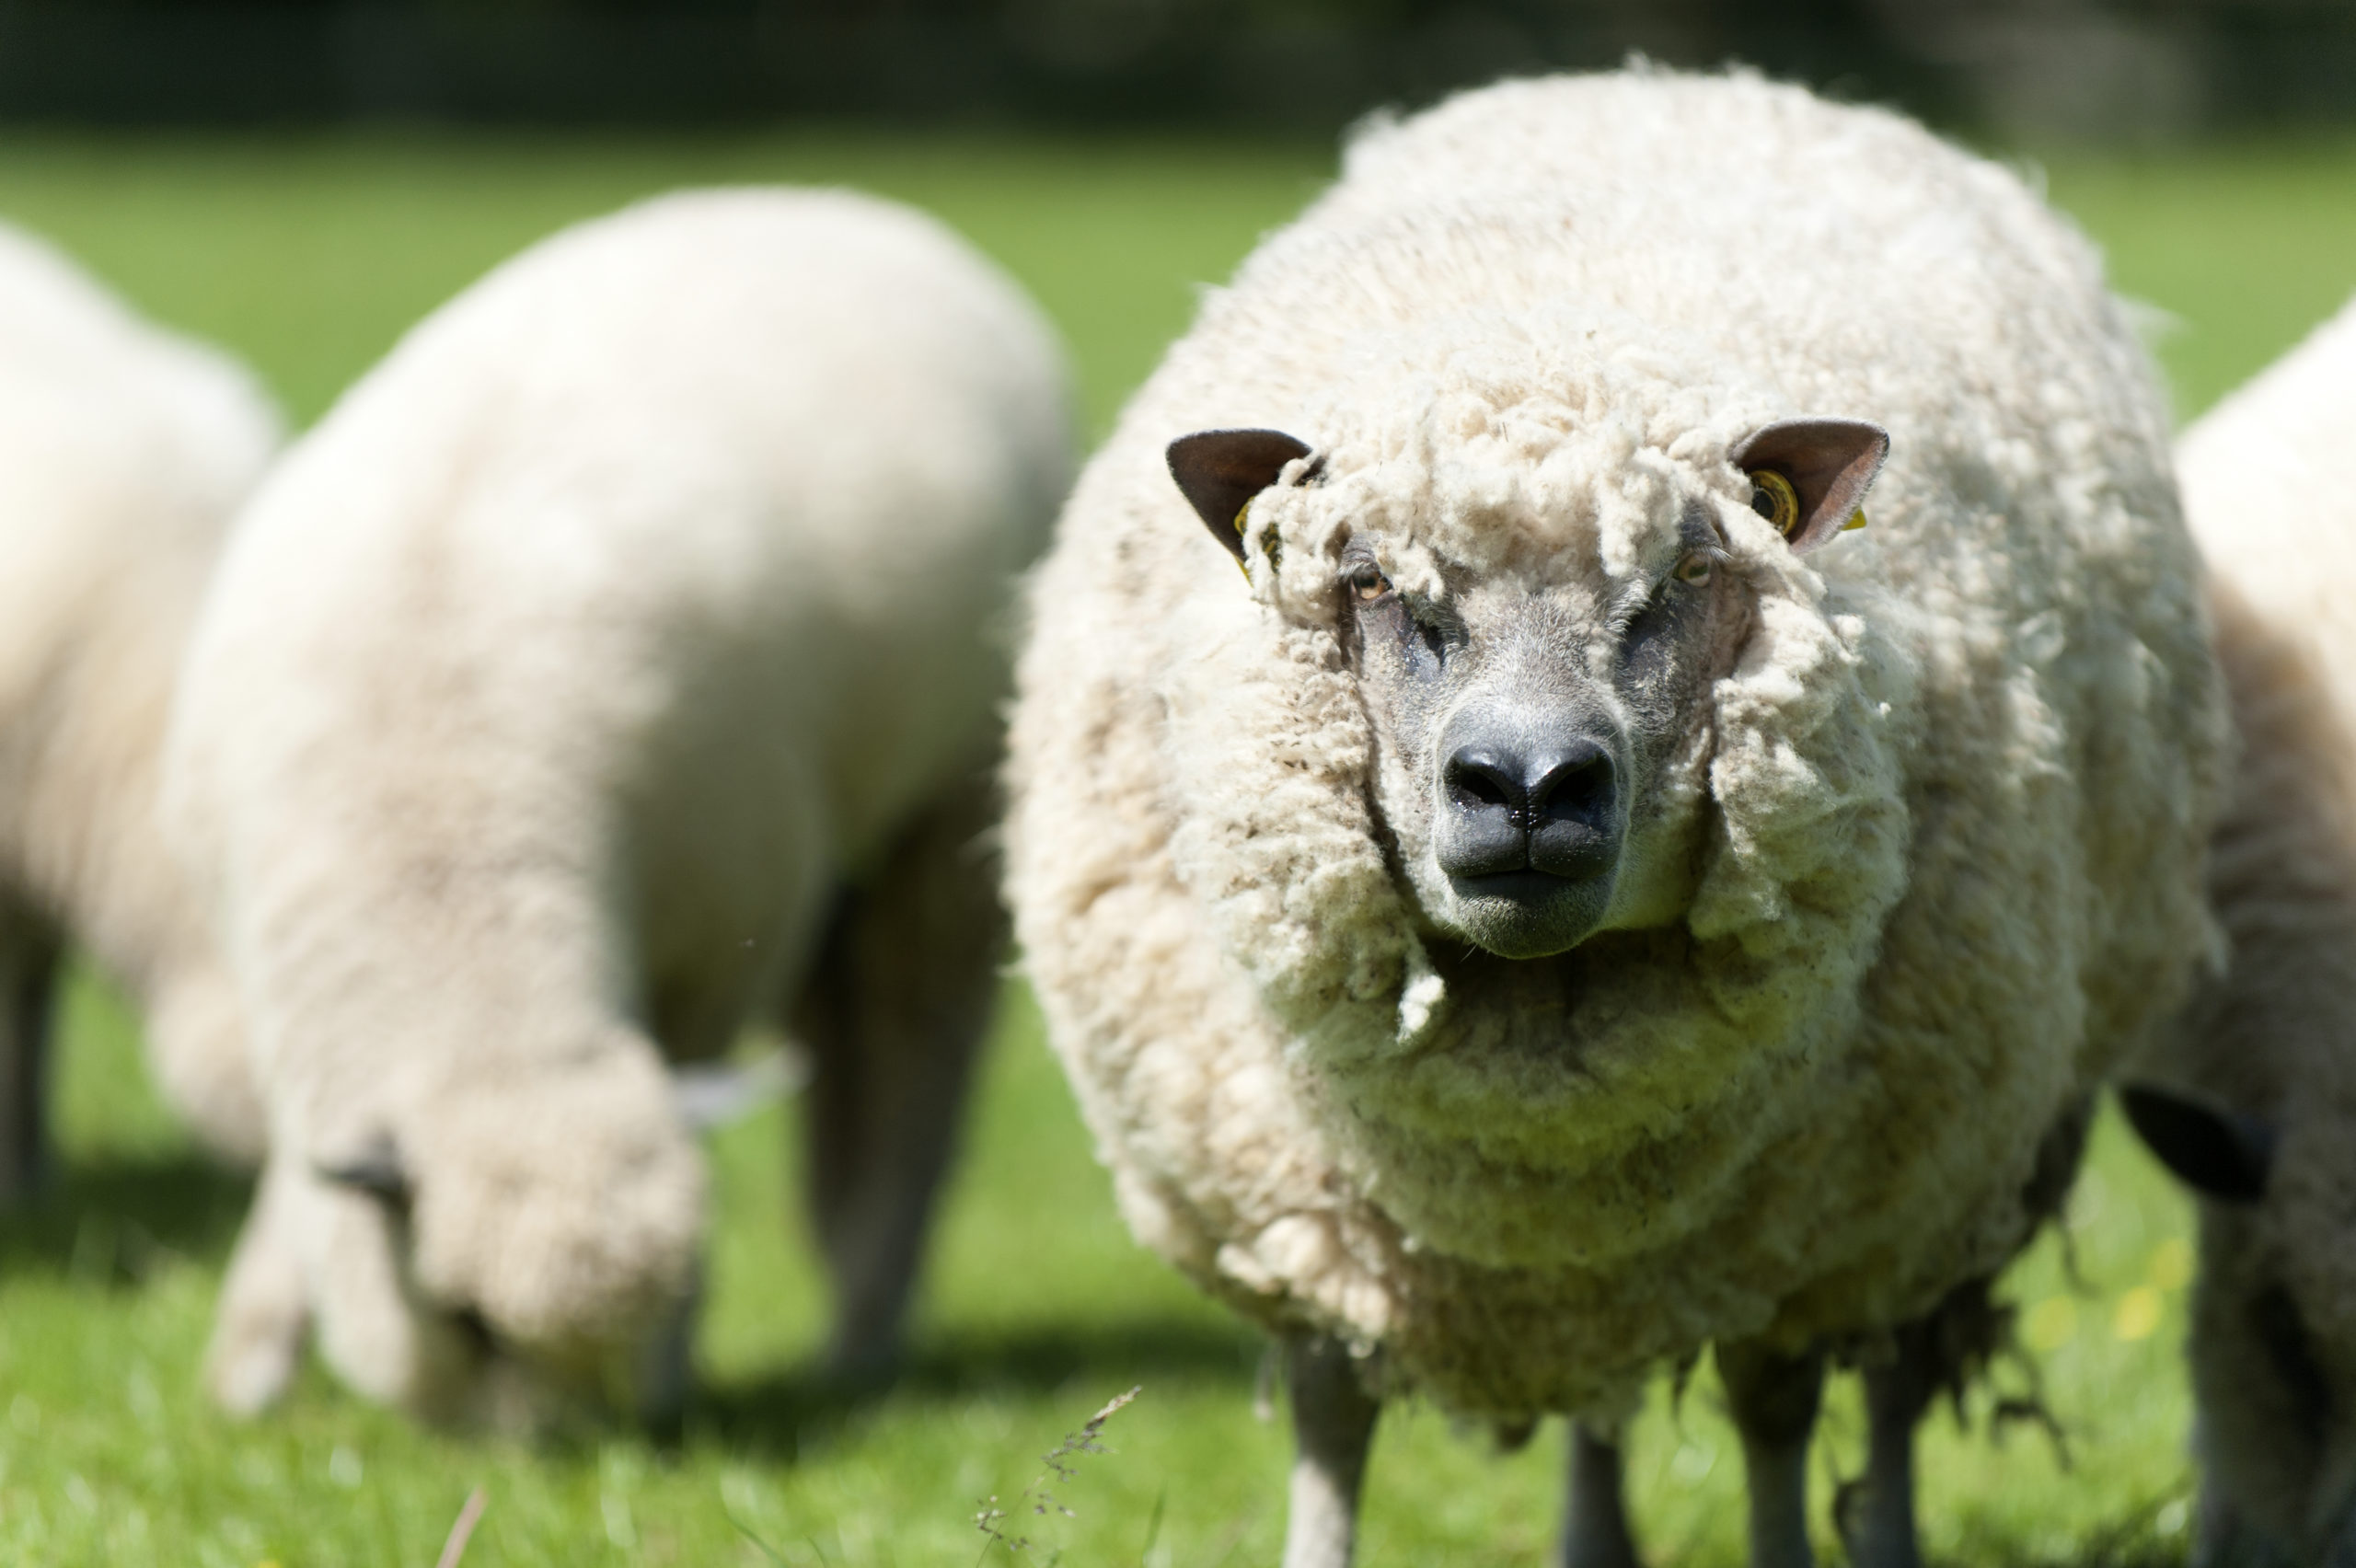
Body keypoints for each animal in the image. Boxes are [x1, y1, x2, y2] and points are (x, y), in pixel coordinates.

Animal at [165, 187, 1072, 1423]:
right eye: (465, 1320)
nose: (584, 1460)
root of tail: (857, 209)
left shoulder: (714, 947)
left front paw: (680, 1360)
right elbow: (298, 1177)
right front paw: (249, 1370)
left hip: (942, 809)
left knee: (910, 1056)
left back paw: (865, 1330)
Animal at [1004, 68, 2224, 1568]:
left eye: (1692, 571)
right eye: (1366, 580)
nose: (1527, 786)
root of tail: (1687, 82)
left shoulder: (1812, 1230)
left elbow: (1776, 1414)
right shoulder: (1302, 1221)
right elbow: (1331, 1424)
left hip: (1952, 1161)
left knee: (1885, 1378)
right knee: (1600, 1397)